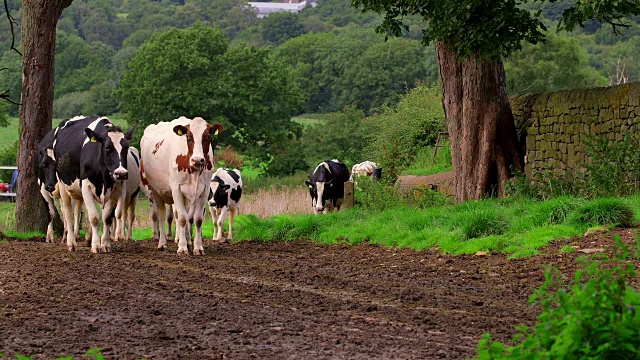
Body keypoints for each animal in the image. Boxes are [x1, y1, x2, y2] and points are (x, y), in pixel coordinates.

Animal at [54, 116, 134, 253]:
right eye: (107, 147)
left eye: (126, 148)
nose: (121, 173)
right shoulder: (86, 186)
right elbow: (94, 218)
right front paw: (96, 245)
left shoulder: (114, 190)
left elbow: (107, 218)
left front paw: (105, 244)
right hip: (63, 184)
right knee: (68, 212)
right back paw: (71, 242)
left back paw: (87, 238)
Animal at [140, 116, 222, 255]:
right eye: (188, 137)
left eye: (207, 137)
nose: (197, 160)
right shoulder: (176, 189)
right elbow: (182, 218)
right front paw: (182, 247)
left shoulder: (204, 190)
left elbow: (197, 219)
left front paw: (197, 247)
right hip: (155, 192)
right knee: (162, 216)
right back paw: (162, 243)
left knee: (188, 216)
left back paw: (188, 241)